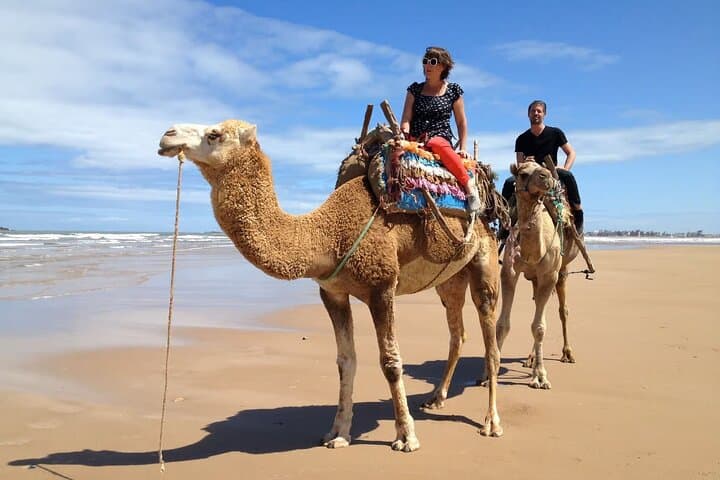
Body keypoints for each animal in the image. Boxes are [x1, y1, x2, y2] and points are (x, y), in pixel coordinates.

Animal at [157, 119, 503, 452]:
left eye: (214, 134)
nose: (167, 135)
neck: (328, 235)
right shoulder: (332, 292)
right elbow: (345, 362)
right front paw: (338, 433)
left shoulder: (382, 286)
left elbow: (391, 361)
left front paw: (406, 437)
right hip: (449, 280)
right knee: (458, 332)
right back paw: (436, 398)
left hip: (484, 262)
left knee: (491, 341)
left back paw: (491, 422)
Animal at [495, 161, 580, 389]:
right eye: (523, 174)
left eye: (542, 170)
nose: (546, 176)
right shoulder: (509, 272)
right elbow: (502, 324)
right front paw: (489, 372)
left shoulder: (549, 274)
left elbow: (540, 327)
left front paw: (540, 377)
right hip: (535, 278)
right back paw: (530, 358)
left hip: (562, 271)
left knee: (562, 310)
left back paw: (567, 354)